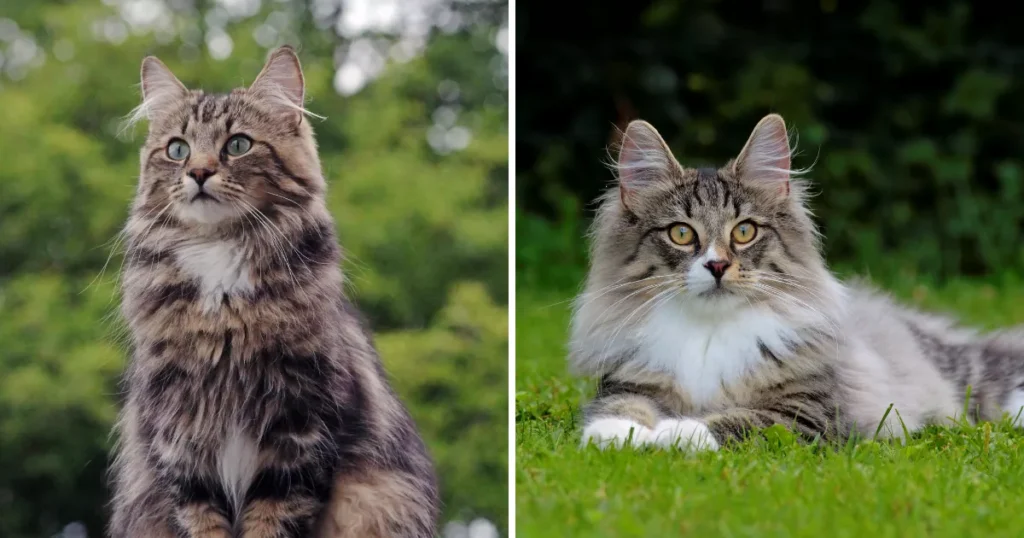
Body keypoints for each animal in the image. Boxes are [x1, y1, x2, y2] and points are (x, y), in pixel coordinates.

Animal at [108, 46, 440, 536]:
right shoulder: (180, 443)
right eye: (177, 149)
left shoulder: (299, 435)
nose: (198, 171)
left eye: (238, 144)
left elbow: (272, 520)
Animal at [573, 114, 1024, 452]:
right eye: (682, 234)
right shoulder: (629, 383)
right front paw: (616, 435)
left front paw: (675, 432)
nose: (717, 266)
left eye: (744, 232)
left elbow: (735, 421)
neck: (709, 331)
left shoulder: (806, 414)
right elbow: (621, 407)